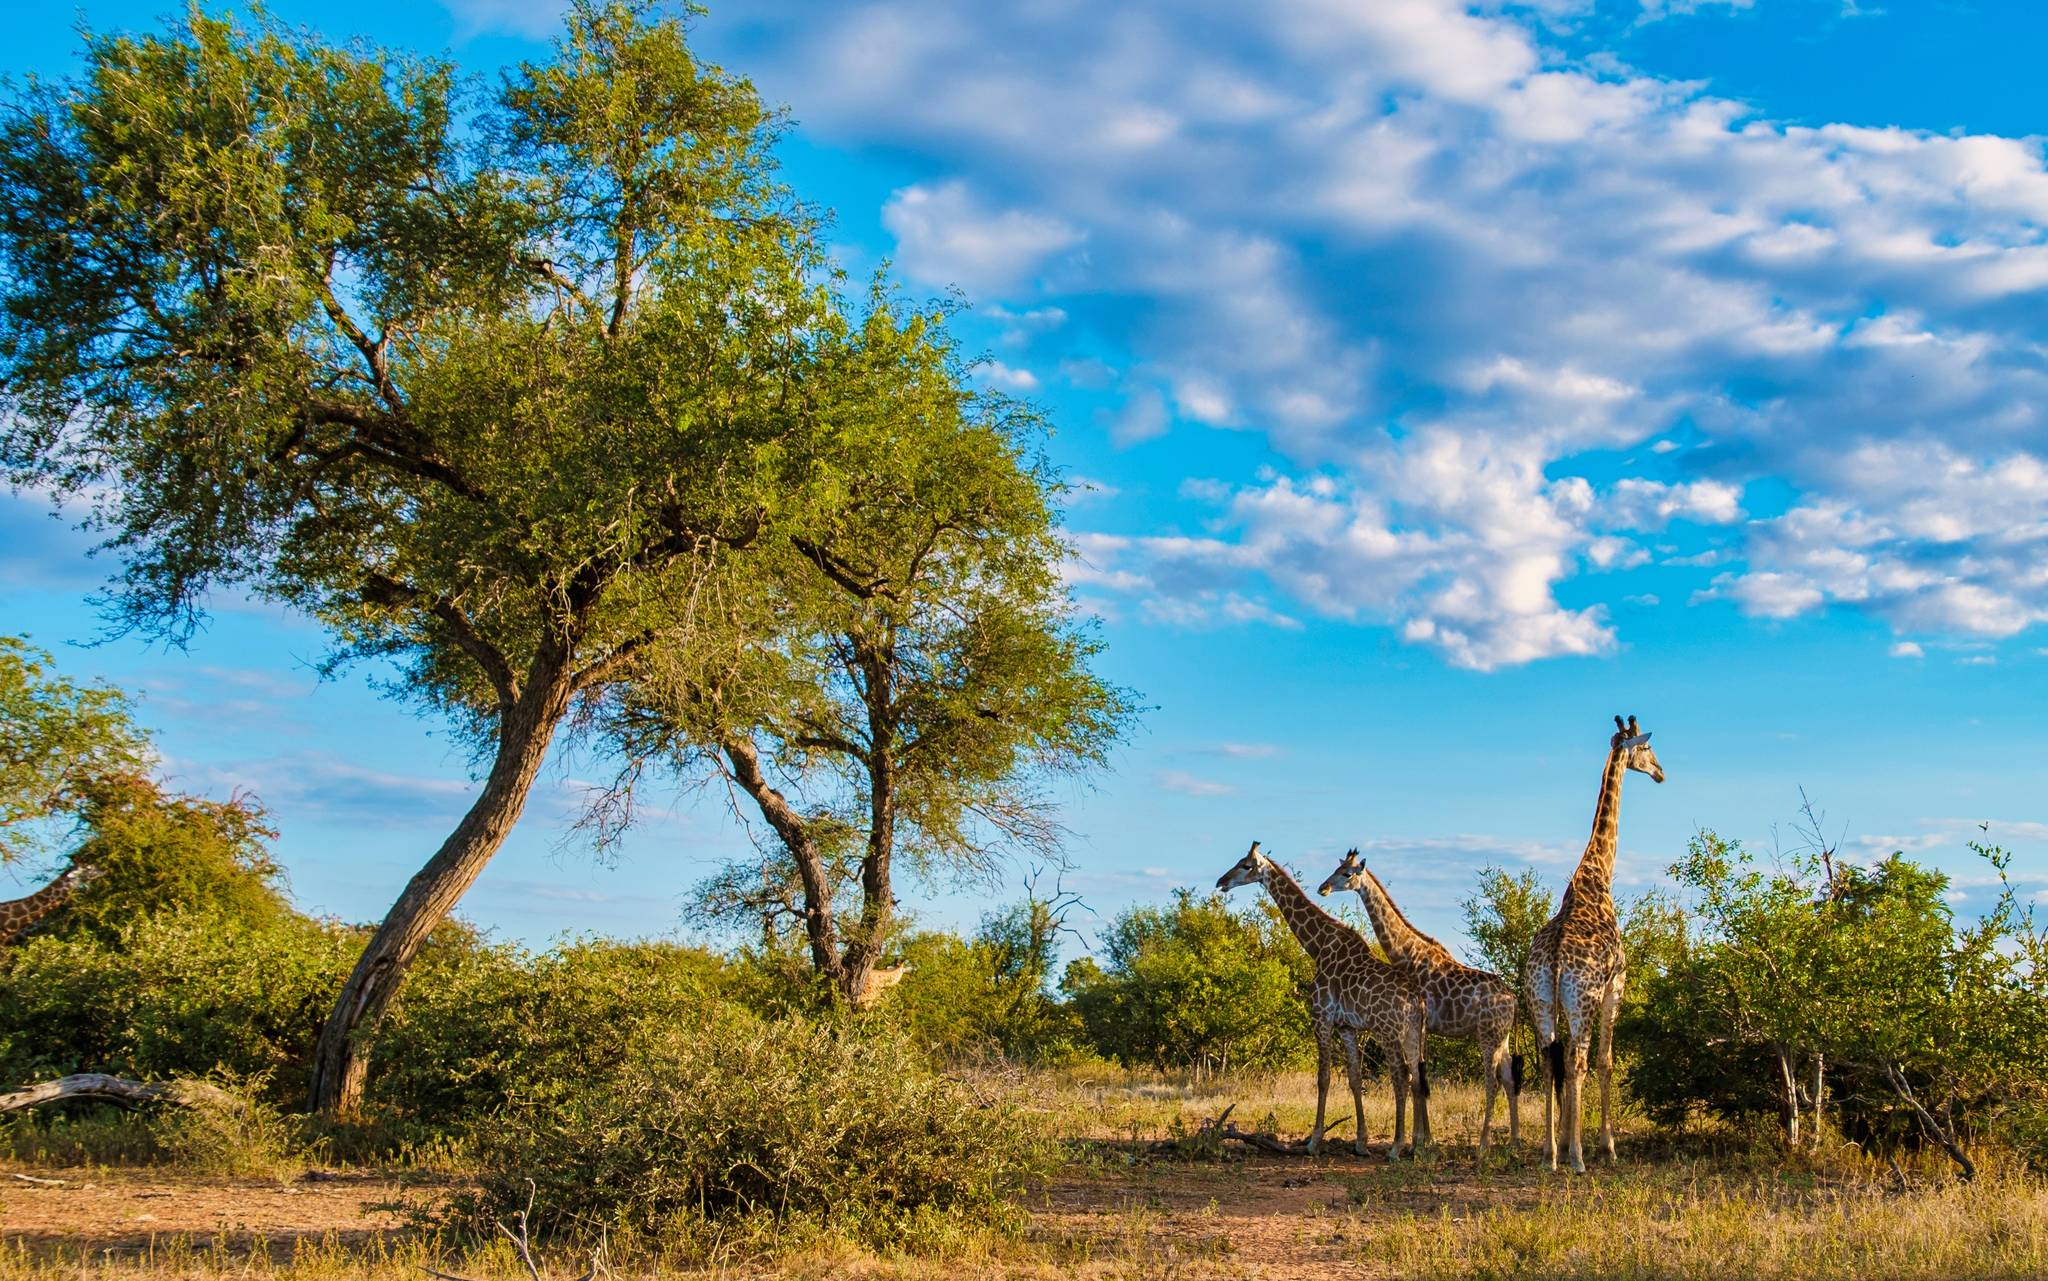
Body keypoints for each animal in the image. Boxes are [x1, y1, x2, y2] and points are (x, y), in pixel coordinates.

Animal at [1212, 840, 1425, 1155]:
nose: (1221, 882)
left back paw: (1397, 1147)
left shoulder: (1321, 1018)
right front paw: (1360, 1142)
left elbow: (1323, 1079)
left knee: (1400, 1076)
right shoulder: (1347, 1027)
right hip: (1412, 1032)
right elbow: (1354, 1079)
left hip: (1387, 1030)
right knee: (1416, 1076)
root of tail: (1417, 1000)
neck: (1318, 945)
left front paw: (1314, 1141)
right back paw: (1417, 1145)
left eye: (1246, 865)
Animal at [1310, 848, 1523, 1155]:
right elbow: (1419, 1076)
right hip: (1502, 1037)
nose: (1323, 888)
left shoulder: (1422, 1023)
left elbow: (1416, 1077)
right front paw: (1423, 1139)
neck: (1406, 953)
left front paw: (1418, 1141)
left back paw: (1483, 1144)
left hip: (1488, 1035)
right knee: (1508, 1078)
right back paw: (1514, 1140)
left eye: (1347, 873)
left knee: (1492, 1081)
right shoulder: (1424, 1027)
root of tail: (1514, 999)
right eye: (1336, 868)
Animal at [1523, 713, 1662, 1172]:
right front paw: (1606, 1146)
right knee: (1579, 1061)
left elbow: (1563, 1063)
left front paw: (1565, 1142)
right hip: (1582, 1000)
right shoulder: (1616, 985)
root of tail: (1554, 961)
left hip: (1540, 1000)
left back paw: (1550, 1154)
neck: (1597, 874)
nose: (1660, 773)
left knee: (1550, 1061)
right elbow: (1606, 1061)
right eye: (1647, 748)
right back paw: (1579, 1158)